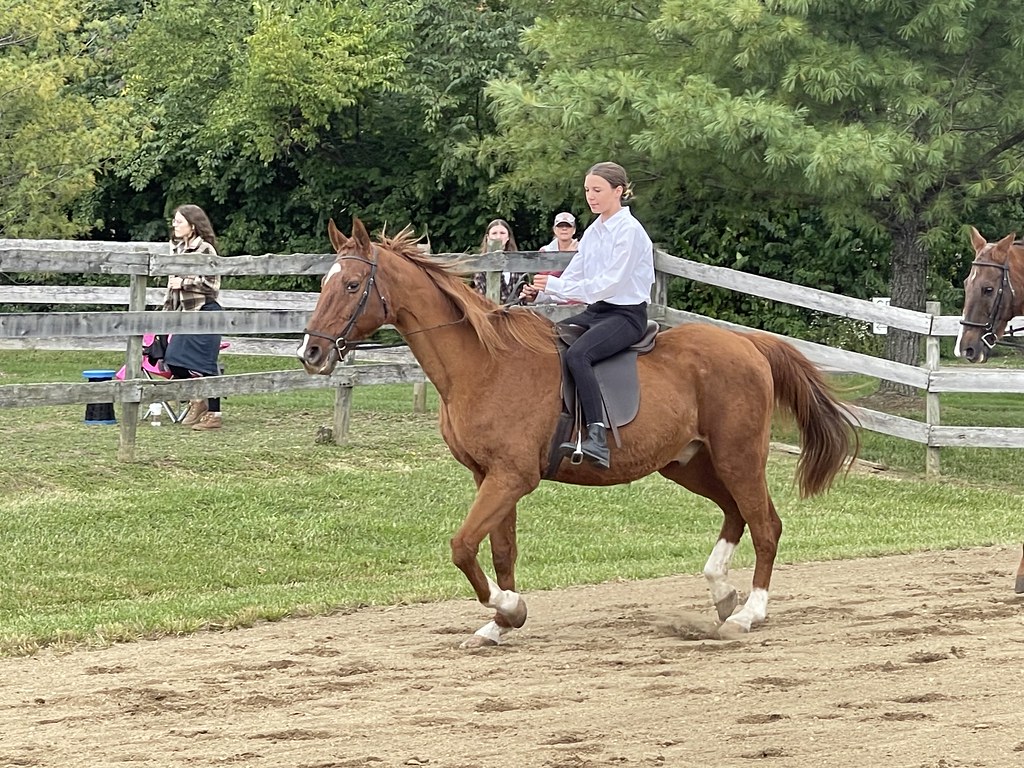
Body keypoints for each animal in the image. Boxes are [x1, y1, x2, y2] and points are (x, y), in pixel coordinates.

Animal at [298, 218, 859, 646]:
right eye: (324, 283)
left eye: (352, 286)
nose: (311, 353)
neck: (482, 364)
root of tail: (749, 345)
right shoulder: (490, 477)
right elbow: (499, 550)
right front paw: (500, 623)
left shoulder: (511, 477)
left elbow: (461, 545)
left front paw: (510, 608)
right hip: (690, 463)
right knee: (736, 515)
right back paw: (722, 594)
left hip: (738, 456)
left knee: (766, 525)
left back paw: (748, 614)